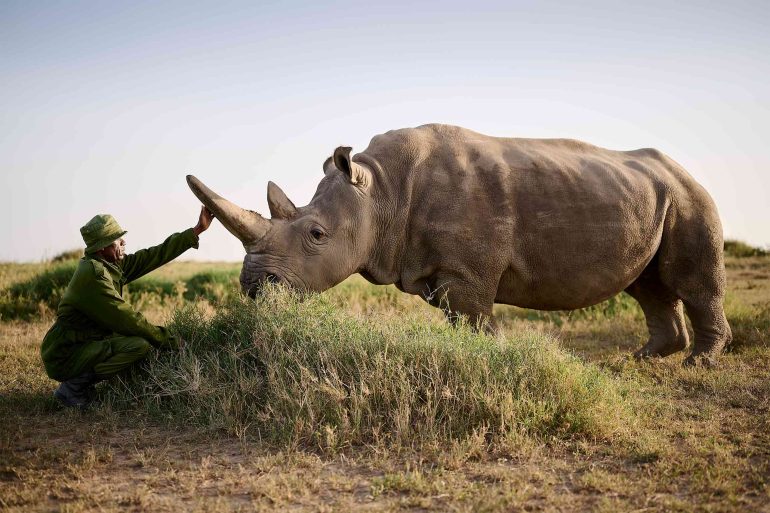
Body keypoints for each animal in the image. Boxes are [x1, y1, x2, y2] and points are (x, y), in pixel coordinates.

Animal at [187, 123, 731, 366]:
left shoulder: (467, 273)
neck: (379, 191)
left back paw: (697, 363)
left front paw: (496, 363)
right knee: (647, 285)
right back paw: (642, 360)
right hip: (652, 196)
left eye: (316, 235)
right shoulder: (440, 269)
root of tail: (681, 170)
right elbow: (462, 321)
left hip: (689, 195)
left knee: (690, 281)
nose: (255, 288)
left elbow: (475, 320)